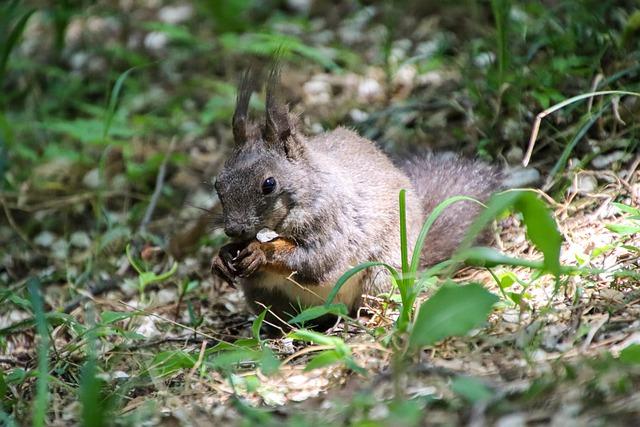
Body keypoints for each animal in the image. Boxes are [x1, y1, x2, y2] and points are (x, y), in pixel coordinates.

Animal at [212, 67, 502, 328]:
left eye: (269, 184)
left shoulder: (334, 221)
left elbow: (316, 259)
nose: (233, 229)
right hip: (266, 299)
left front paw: (260, 251)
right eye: (218, 184)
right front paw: (222, 257)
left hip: (383, 273)